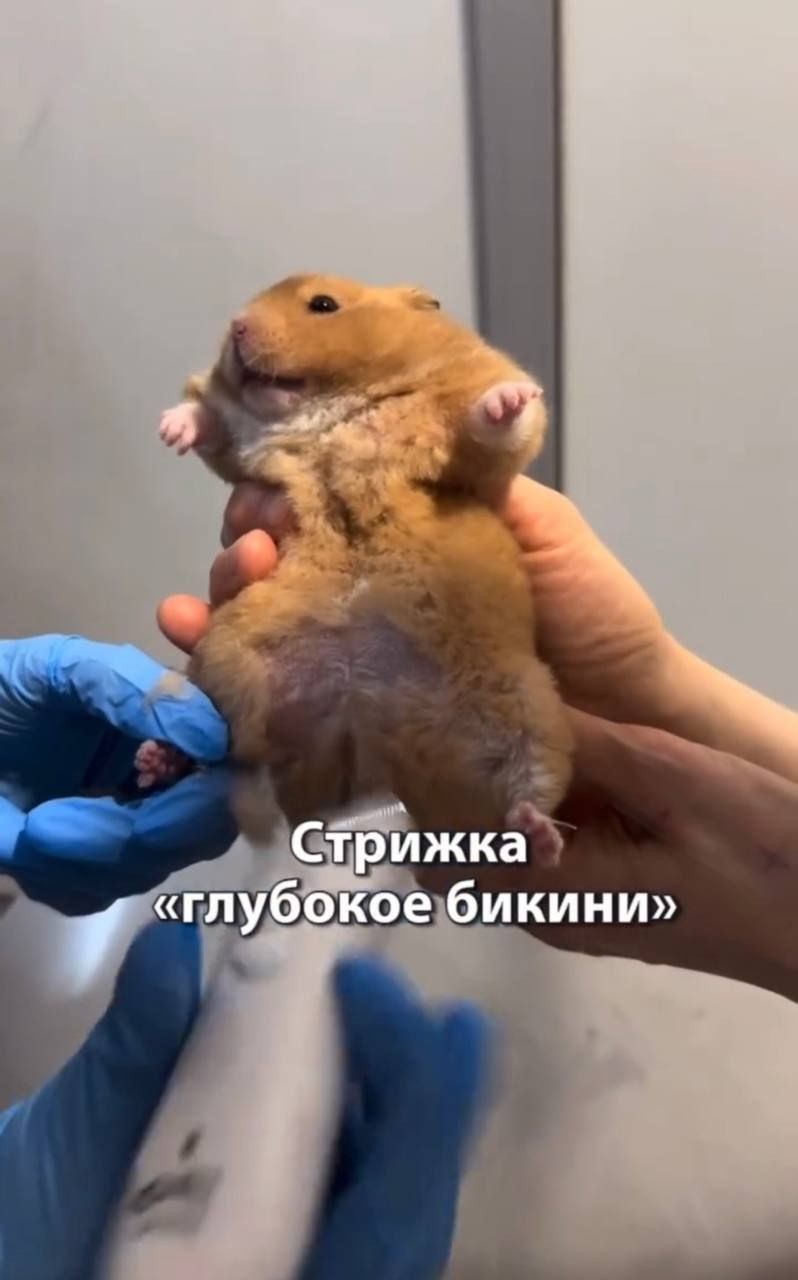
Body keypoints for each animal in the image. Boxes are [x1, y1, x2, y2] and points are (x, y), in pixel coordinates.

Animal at [144, 273, 574, 867]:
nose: (237, 326)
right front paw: (169, 429)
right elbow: (209, 420)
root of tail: (365, 738)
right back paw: (155, 758)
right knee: (227, 754)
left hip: (523, 705)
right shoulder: (238, 440)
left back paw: (540, 838)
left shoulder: (471, 440)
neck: (334, 407)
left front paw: (515, 397)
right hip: (222, 670)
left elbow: (497, 425)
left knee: (530, 784)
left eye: (323, 305)